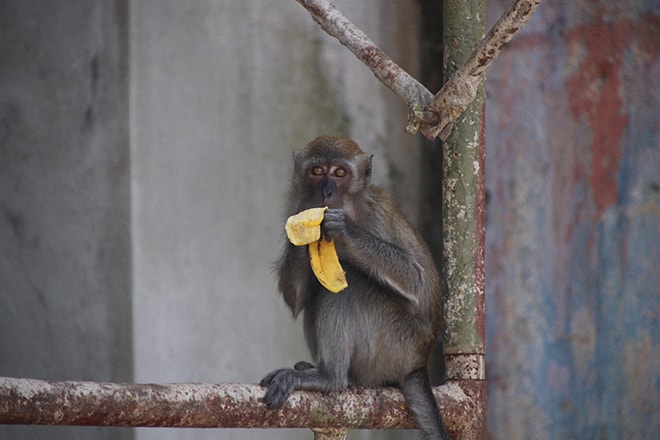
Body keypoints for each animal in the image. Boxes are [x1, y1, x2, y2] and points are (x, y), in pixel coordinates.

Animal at [260, 136, 452, 438]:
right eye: (317, 171)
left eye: (340, 173)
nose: (326, 192)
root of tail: (418, 364)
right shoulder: (294, 204)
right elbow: (297, 300)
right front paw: (305, 229)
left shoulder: (378, 212)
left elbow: (416, 282)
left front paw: (346, 229)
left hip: (397, 345)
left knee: (352, 286)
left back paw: (330, 378)